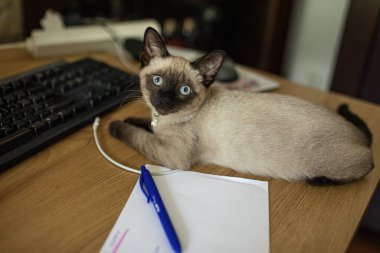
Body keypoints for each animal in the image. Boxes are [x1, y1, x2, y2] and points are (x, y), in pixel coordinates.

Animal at [108, 27, 372, 186]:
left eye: (184, 90)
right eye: (157, 81)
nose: (164, 101)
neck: (164, 119)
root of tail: (358, 136)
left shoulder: (172, 154)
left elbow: (135, 135)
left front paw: (114, 125)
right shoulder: (158, 128)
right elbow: (144, 125)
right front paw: (134, 120)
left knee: (369, 165)